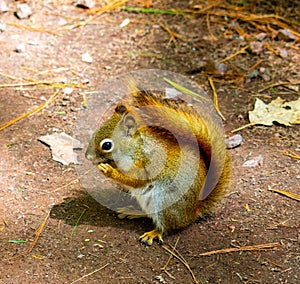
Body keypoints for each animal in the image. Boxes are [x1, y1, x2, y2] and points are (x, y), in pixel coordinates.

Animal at [85, 80, 231, 246]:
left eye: (107, 145)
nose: (88, 157)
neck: (135, 148)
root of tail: (193, 211)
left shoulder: (144, 164)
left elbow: (135, 180)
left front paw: (108, 170)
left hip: (164, 202)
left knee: (167, 227)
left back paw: (154, 233)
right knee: (149, 215)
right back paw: (133, 212)